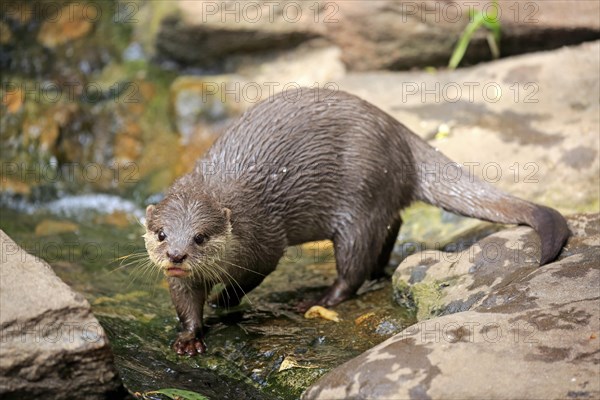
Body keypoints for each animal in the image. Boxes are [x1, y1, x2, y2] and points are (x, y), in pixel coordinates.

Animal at [143, 88, 568, 356]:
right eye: (162, 234)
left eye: (200, 237)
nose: (177, 255)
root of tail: (399, 134)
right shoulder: (180, 278)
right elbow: (184, 303)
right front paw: (189, 337)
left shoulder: (265, 242)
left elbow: (251, 276)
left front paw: (224, 299)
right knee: (392, 223)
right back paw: (380, 270)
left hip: (359, 201)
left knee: (354, 265)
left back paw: (319, 299)